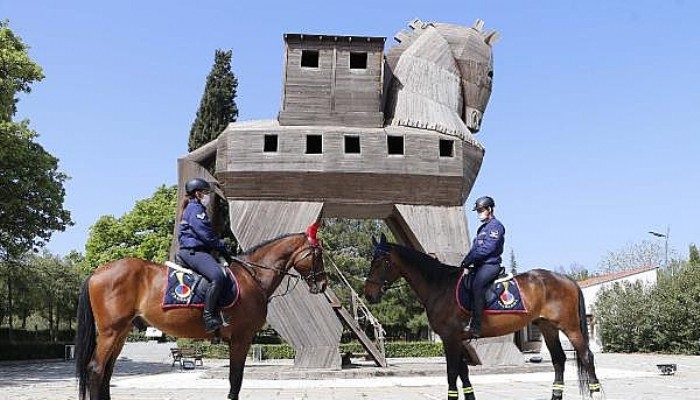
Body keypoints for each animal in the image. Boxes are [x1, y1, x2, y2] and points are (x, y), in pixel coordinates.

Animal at [75, 231, 326, 400]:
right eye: (318, 255)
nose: (323, 284)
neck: (252, 276)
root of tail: (97, 272)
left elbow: (235, 378)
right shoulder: (241, 338)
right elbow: (236, 378)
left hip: (121, 332)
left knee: (107, 371)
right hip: (110, 331)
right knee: (96, 369)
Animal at [364, 234, 600, 400]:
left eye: (380, 262)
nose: (369, 294)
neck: (440, 285)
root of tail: (565, 278)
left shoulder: (450, 338)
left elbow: (452, 373)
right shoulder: (458, 340)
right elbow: (463, 373)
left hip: (570, 327)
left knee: (586, 356)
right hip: (548, 327)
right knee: (559, 360)